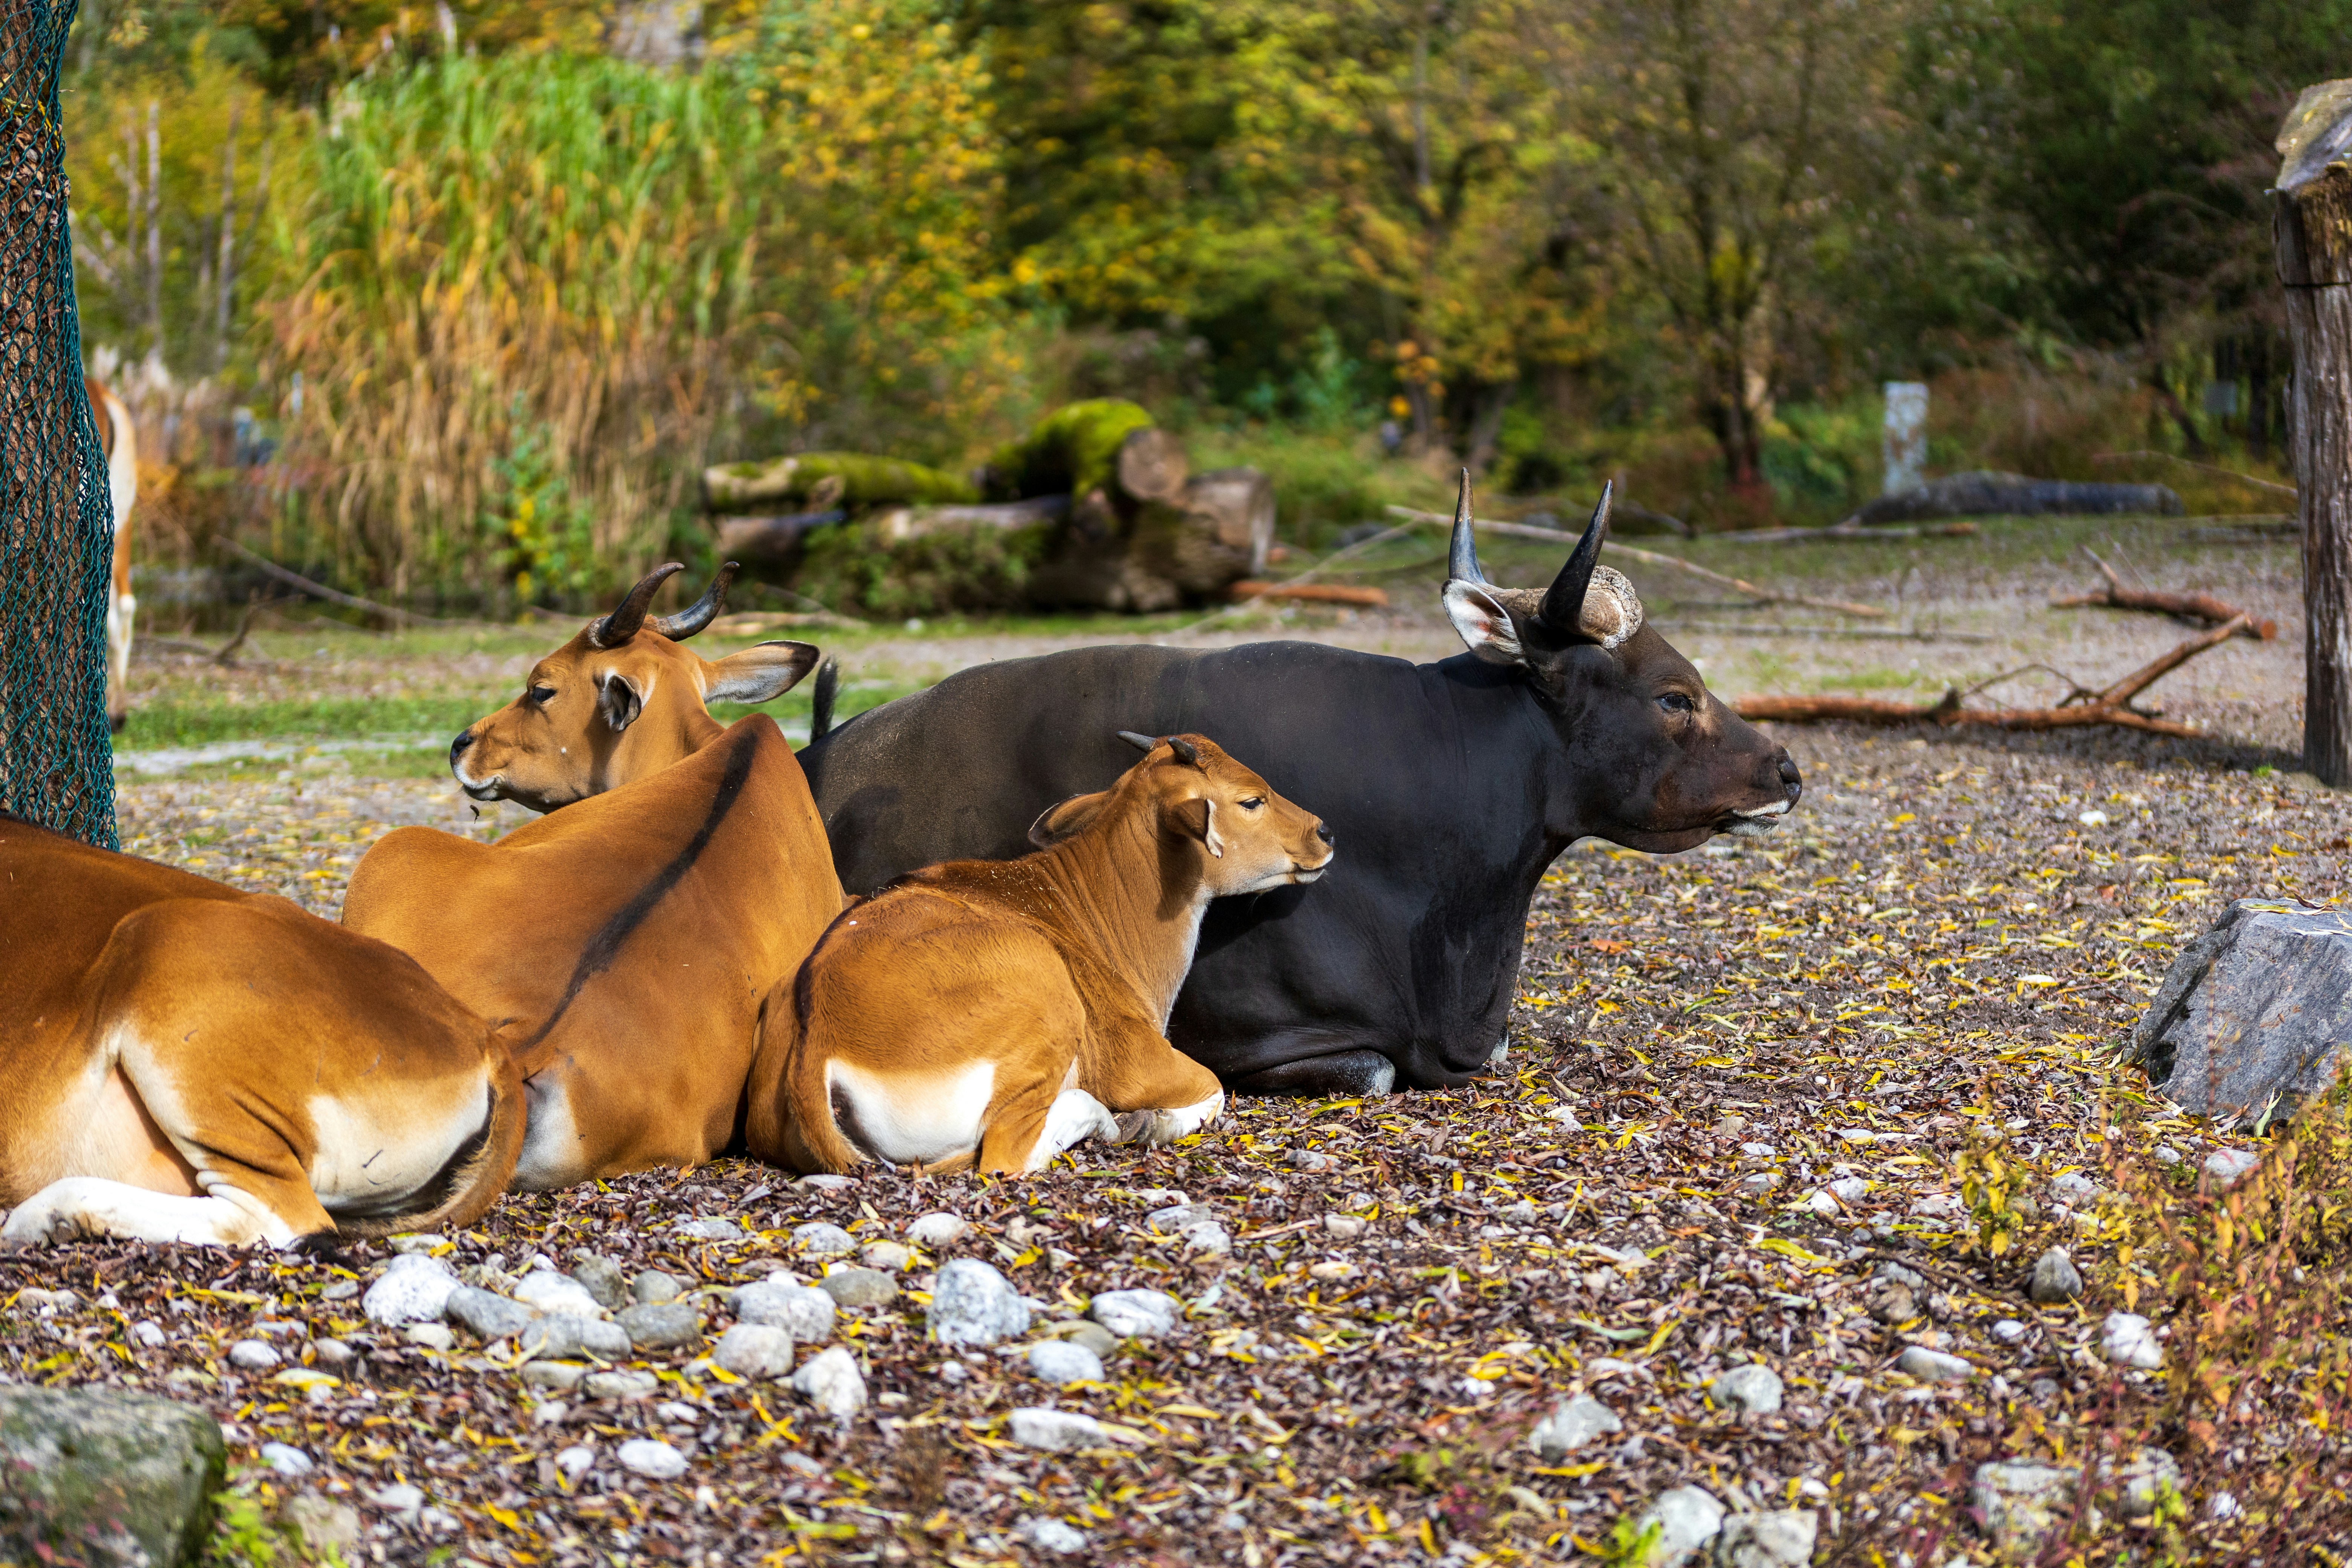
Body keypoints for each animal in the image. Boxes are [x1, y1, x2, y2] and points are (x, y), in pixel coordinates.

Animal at [745, 733, 1333, 1174]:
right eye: (1251, 799)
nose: (1324, 831)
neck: (1087, 908)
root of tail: (817, 1038)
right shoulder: (1136, 1061)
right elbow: (1214, 1089)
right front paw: (1150, 1121)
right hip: (1050, 1010)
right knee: (1008, 1154)